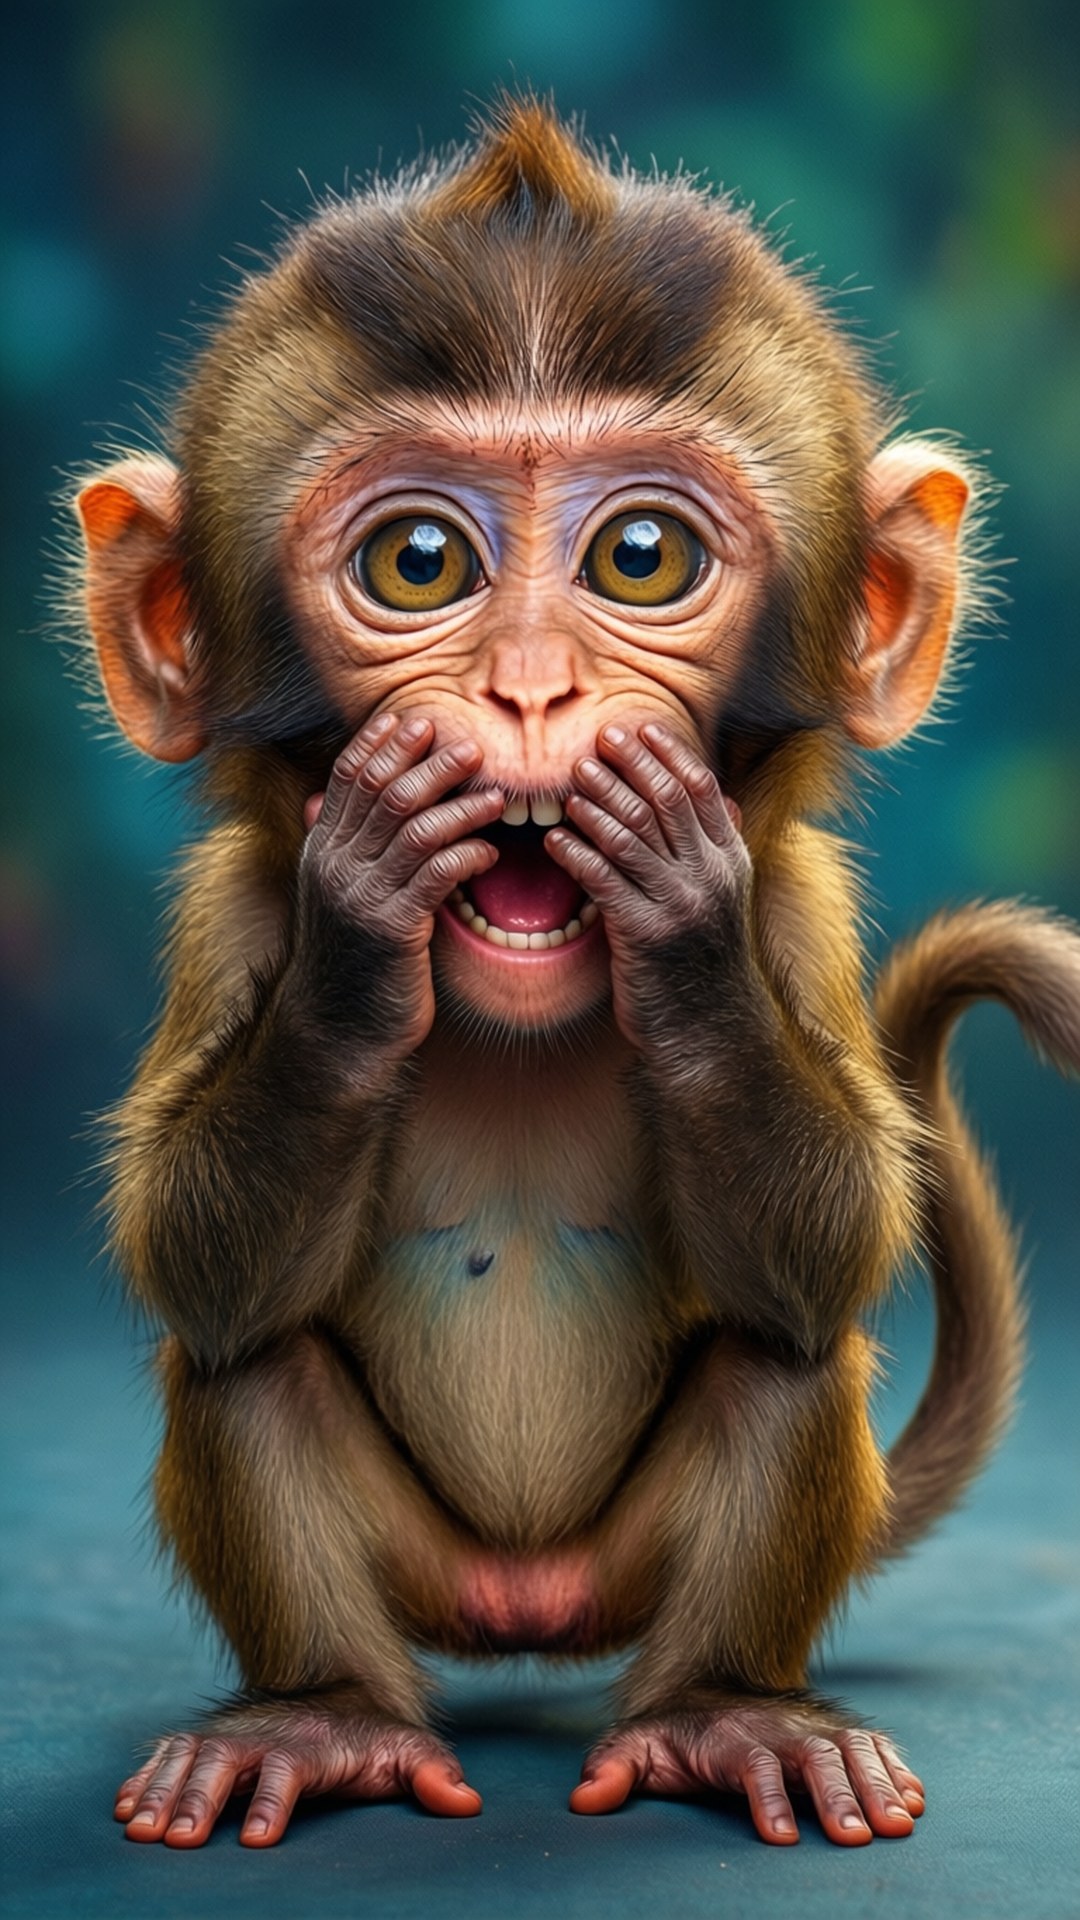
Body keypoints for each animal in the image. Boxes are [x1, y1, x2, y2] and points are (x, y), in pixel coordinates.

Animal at [70, 98, 1080, 1852]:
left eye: (642, 556)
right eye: (418, 562)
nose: (531, 692)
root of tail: (526, 1613)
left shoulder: (798, 907)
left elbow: (823, 1250)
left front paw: (674, 910)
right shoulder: (231, 912)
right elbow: (199, 1257)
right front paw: (364, 918)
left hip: (633, 1575)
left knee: (781, 1364)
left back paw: (727, 1714)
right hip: (425, 1576)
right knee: (248, 1367)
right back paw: (322, 1719)